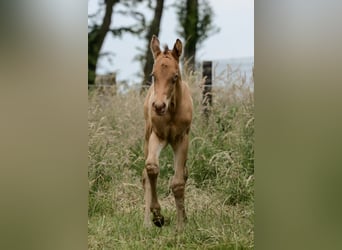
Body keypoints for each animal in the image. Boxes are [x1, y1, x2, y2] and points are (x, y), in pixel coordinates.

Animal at [142, 34, 192, 231]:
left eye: (175, 76)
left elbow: (178, 182)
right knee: (145, 174)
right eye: (153, 75)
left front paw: (181, 226)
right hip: (147, 136)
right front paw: (157, 216)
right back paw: (147, 223)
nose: (158, 106)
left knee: (184, 174)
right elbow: (151, 167)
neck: (171, 110)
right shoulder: (158, 136)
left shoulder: (181, 139)